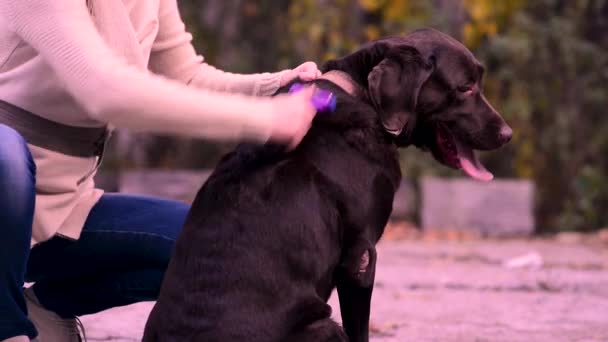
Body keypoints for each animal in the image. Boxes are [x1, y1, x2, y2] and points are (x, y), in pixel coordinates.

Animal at [145, 28, 510, 342]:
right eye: (465, 87)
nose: (508, 134)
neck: (362, 97)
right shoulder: (360, 257)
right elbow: (360, 331)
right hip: (323, 325)